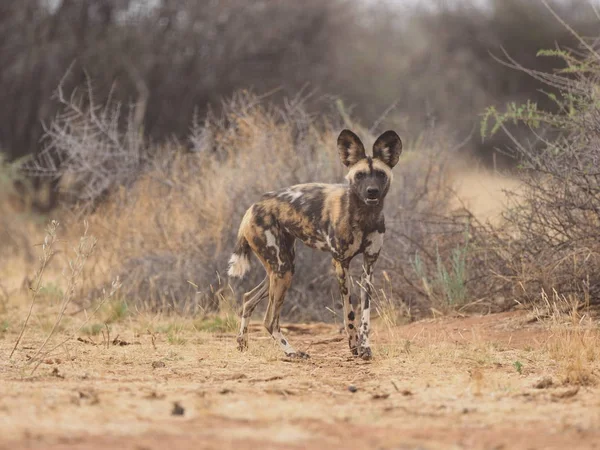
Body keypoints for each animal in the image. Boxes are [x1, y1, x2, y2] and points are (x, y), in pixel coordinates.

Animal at [227, 128, 400, 360]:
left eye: (380, 174)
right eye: (360, 175)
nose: (372, 191)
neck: (364, 215)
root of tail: (252, 207)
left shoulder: (369, 264)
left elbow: (365, 314)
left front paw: (365, 347)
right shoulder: (340, 264)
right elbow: (349, 313)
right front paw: (353, 345)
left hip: (281, 269)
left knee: (247, 299)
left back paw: (242, 343)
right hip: (282, 271)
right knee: (270, 320)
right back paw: (291, 352)